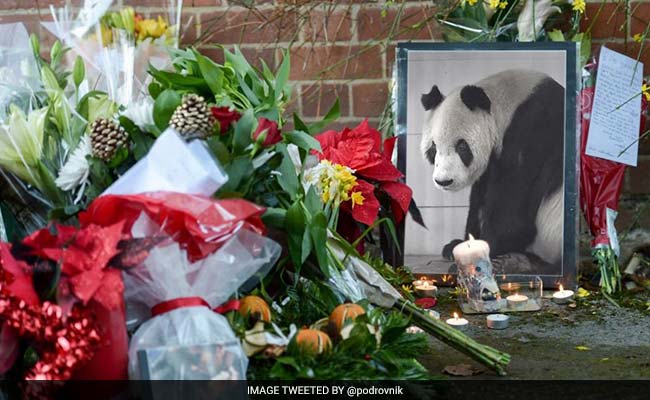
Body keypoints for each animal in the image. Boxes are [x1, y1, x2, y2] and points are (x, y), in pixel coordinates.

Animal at [420, 69, 560, 276]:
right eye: (433, 148)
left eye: (462, 146)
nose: (444, 181)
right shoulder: (492, 160)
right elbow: (480, 199)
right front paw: (458, 246)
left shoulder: (532, 134)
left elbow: (512, 215)